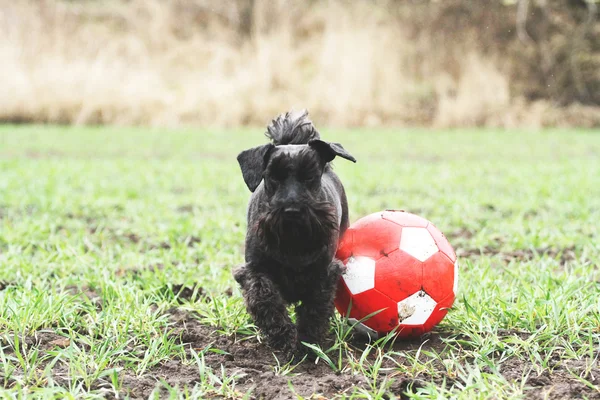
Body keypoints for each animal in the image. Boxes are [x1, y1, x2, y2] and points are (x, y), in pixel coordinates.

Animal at [234, 110, 356, 360]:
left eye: (310, 176)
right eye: (273, 176)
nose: (292, 210)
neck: (292, 242)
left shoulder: (323, 273)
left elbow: (315, 309)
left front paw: (307, 344)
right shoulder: (254, 270)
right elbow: (265, 299)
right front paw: (284, 336)